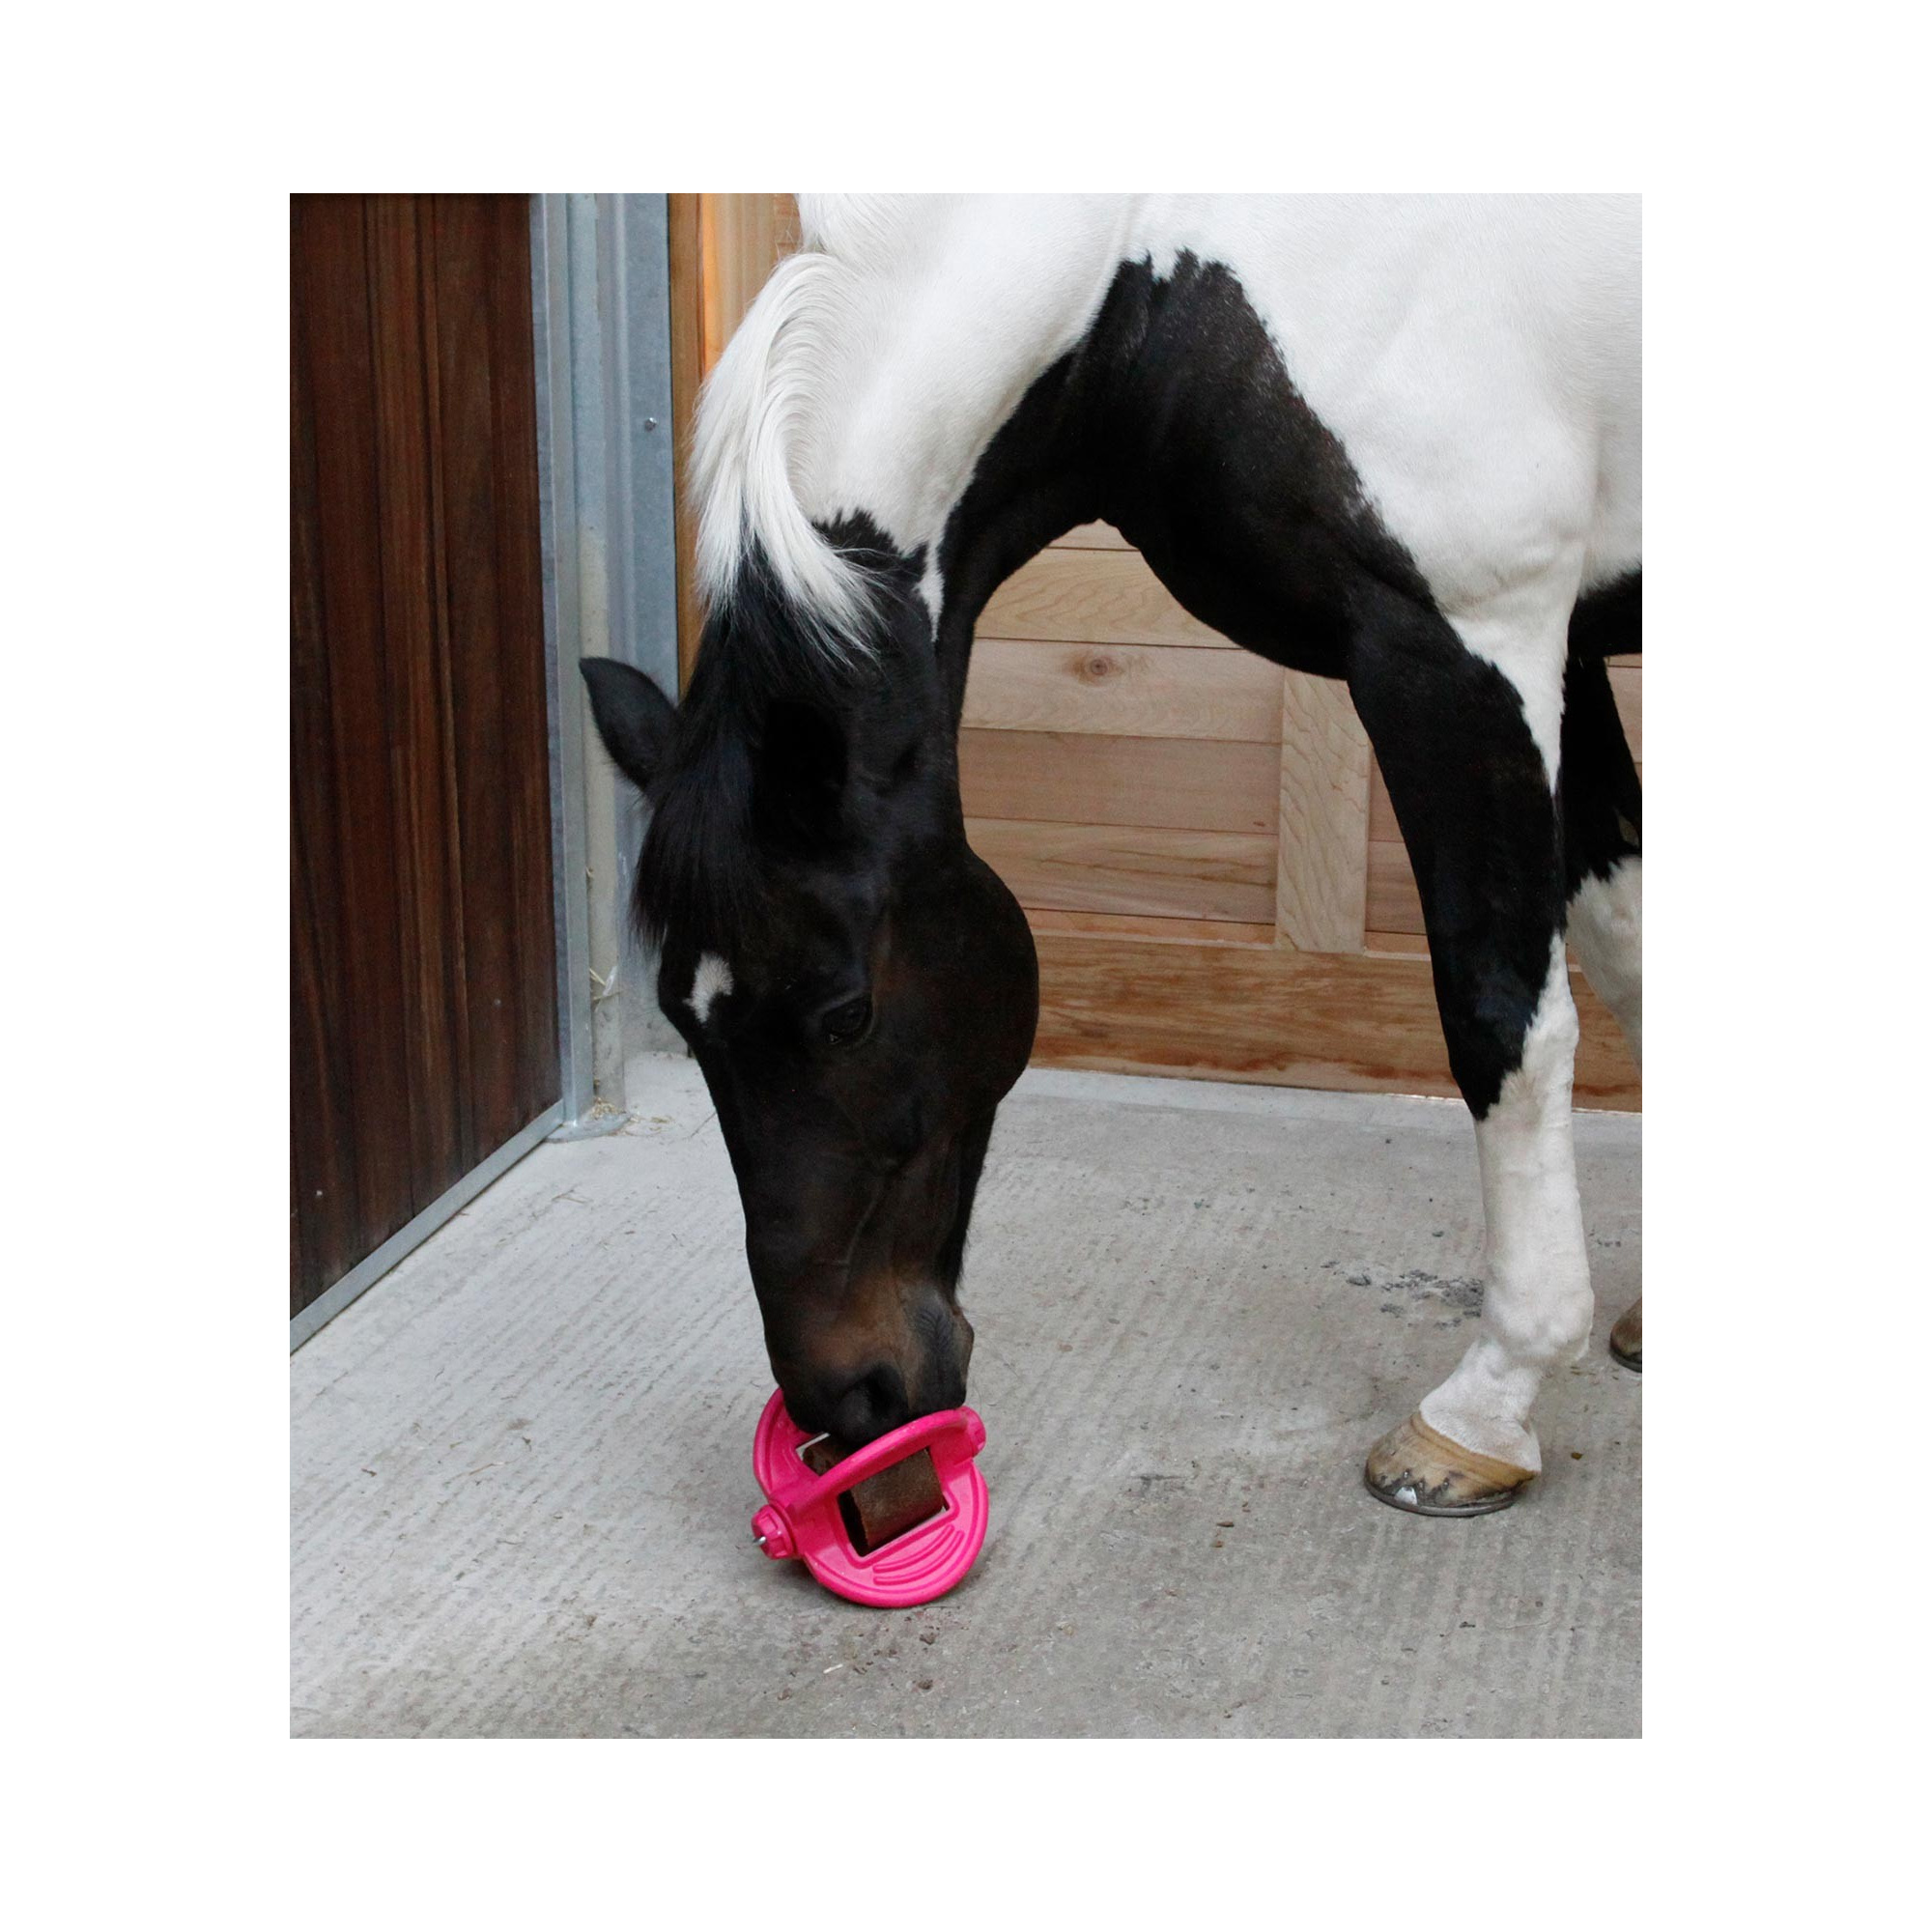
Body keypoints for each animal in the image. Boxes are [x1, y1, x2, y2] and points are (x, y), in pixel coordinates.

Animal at [581, 194, 1641, 1518]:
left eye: (845, 1012)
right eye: (685, 1017)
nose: (851, 1402)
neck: (1155, 279)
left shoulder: (1467, 645)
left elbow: (1501, 1015)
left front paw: (1486, 1406)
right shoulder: (1569, 646)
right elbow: (1627, 939)